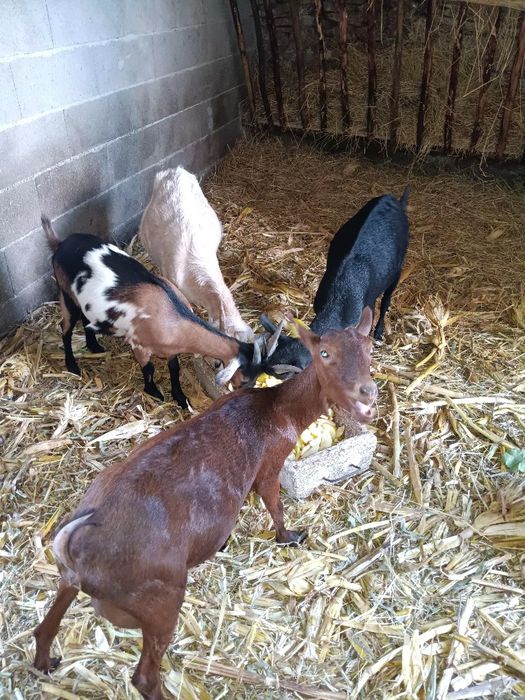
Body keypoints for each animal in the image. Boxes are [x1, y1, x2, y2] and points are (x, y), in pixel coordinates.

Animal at [33, 308, 375, 700]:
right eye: (325, 354)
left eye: (369, 348)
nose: (368, 392)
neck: (282, 411)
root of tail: (77, 549)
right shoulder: (270, 462)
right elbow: (274, 503)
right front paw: (290, 536)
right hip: (160, 598)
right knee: (144, 675)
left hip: (70, 578)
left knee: (45, 625)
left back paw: (46, 663)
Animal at [42, 217, 279, 410]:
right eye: (246, 377)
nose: (246, 392)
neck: (173, 313)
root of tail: (61, 244)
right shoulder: (139, 345)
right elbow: (149, 370)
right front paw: (154, 392)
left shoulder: (172, 349)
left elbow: (174, 369)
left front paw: (180, 397)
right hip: (65, 293)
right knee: (66, 329)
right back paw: (72, 365)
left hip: (84, 301)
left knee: (85, 318)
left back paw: (94, 346)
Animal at [261, 187, 410, 378]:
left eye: (287, 375)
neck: (340, 298)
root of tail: (396, 201)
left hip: (398, 268)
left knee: (386, 300)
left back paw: (379, 332)